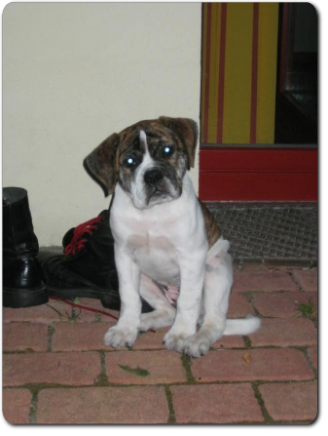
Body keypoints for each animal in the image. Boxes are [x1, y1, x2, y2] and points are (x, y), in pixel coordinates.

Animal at [83, 116, 260, 358]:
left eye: (168, 150)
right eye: (130, 161)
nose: (153, 175)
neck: (153, 213)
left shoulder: (191, 257)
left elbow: (188, 301)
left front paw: (181, 335)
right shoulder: (124, 257)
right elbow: (128, 297)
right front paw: (124, 329)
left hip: (216, 267)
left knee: (214, 321)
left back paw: (196, 340)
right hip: (145, 278)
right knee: (167, 310)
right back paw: (142, 321)